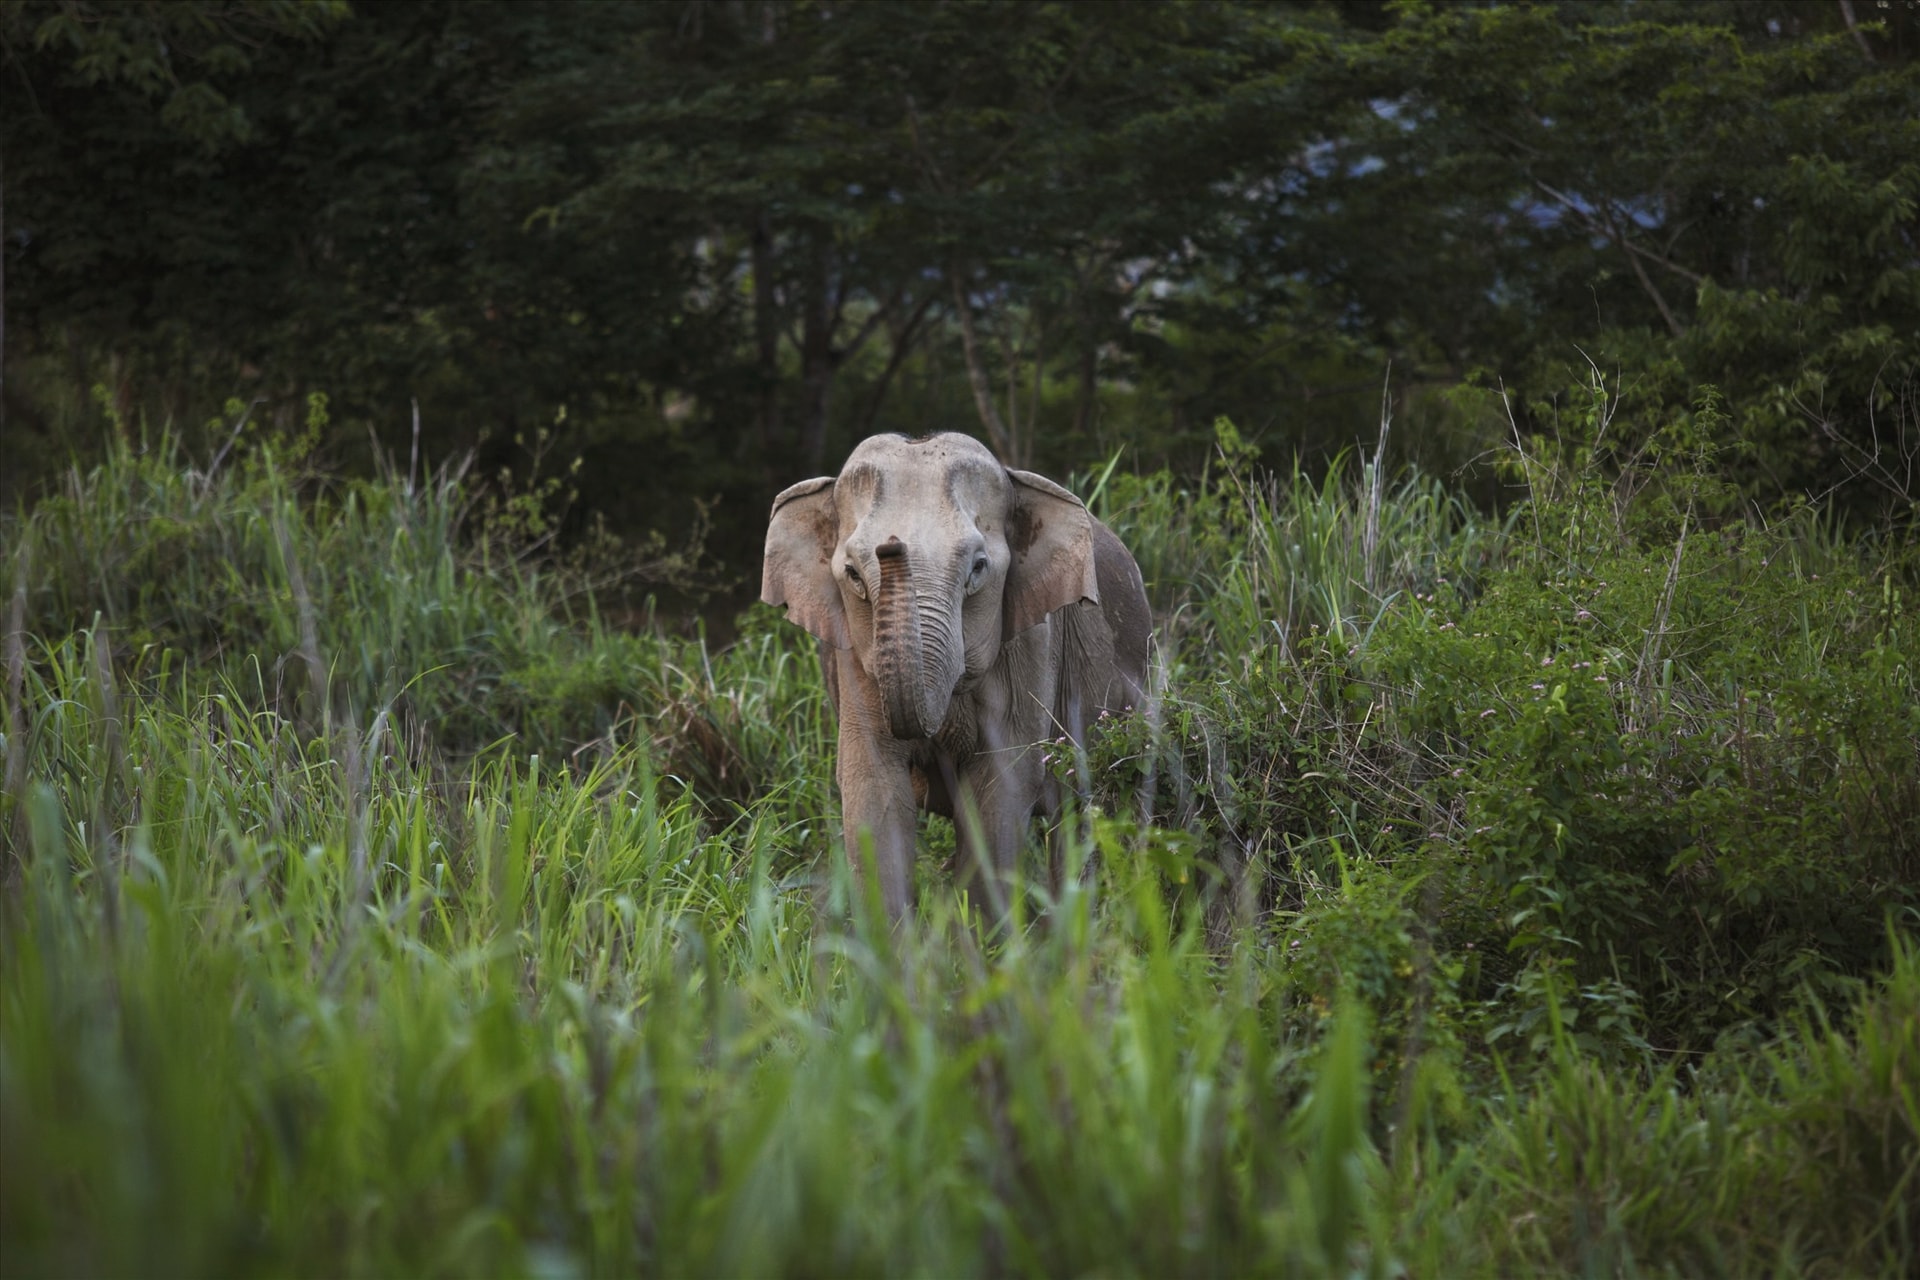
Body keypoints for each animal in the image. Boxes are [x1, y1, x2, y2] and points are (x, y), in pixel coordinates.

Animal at [760, 433, 1152, 921]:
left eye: (978, 567)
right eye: (852, 573)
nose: (892, 546)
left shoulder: (1031, 642)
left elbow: (1000, 789)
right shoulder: (852, 656)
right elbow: (872, 785)